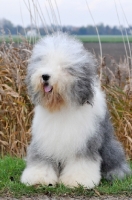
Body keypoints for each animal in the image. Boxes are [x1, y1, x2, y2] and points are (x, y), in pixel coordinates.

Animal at [20, 32, 130, 189]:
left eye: (63, 67)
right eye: (43, 62)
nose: (45, 76)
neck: (61, 105)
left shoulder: (85, 142)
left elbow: (81, 162)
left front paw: (78, 180)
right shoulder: (44, 141)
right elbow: (41, 159)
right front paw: (39, 178)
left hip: (111, 149)